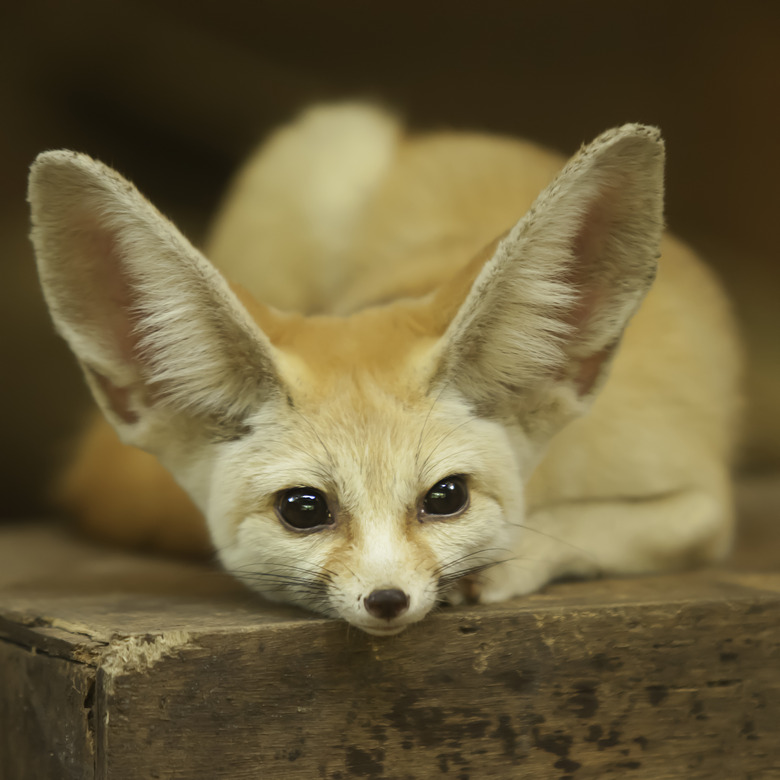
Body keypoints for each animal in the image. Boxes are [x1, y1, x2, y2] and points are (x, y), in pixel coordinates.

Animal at [29, 103, 736, 636]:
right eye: (304, 509)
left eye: (446, 498)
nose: (388, 599)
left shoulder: (702, 506)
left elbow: (583, 529)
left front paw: (503, 563)